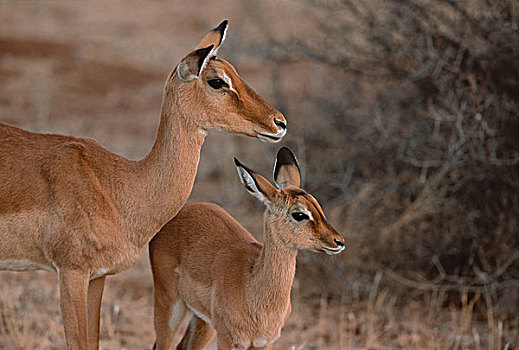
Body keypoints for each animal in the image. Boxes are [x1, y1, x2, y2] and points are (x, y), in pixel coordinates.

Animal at [0, 20, 286, 348]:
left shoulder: (97, 276)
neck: (119, 187)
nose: (279, 122)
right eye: (217, 81)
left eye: (235, 71)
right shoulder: (71, 272)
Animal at [150, 148, 346, 350]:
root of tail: (176, 214)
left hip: (202, 321)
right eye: (299, 214)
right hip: (169, 304)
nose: (338, 241)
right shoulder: (228, 339)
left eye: (317, 206)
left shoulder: (265, 343)